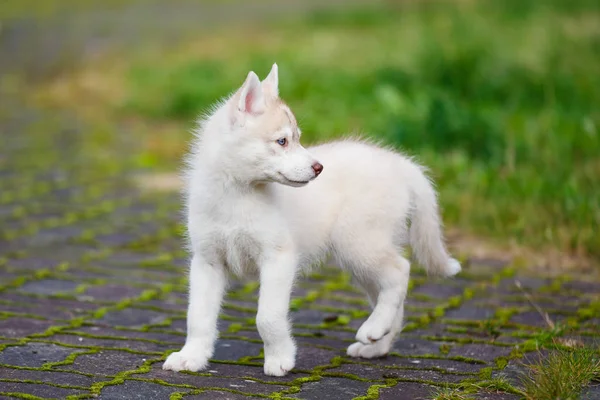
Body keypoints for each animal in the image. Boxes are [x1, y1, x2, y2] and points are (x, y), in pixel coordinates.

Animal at [162, 64, 462, 376]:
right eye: (282, 141)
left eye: (297, 138)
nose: (319, 168)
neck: (237, 195)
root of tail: (401, 164)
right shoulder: (207, 261)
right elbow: (198, 317)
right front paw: (191, 356)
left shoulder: (278, 257)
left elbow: (267, 317)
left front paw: (279, 359)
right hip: (361, 259)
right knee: (391, 293)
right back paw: (377, 343)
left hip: (359, 245)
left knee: (400, 271)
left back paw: (373, 328)